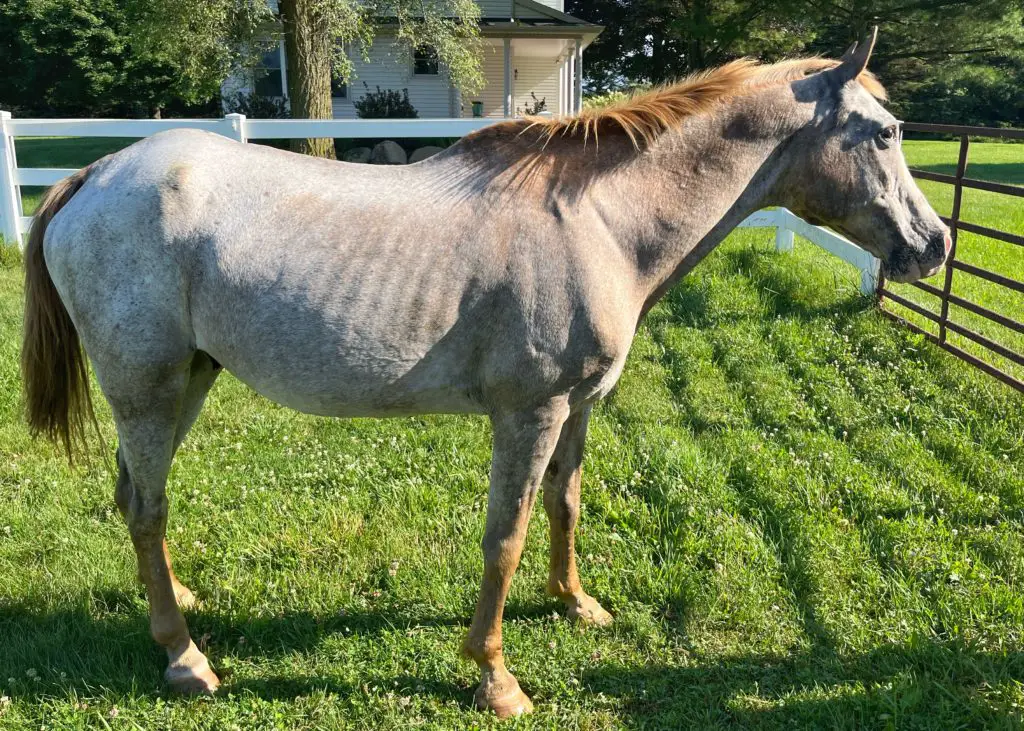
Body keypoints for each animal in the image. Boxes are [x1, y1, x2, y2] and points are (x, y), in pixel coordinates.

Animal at [19, 31, 946, 716]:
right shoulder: (528, 413)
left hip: (188, 380)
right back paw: (186, 658)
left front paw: (576, 602)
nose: (933, 244)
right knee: (148, 506)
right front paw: (494, 675)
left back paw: (176, 602)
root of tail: (91, 174)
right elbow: (506, 536)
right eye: (887, 132)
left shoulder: (578, 407)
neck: (598, 220)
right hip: (148, 387)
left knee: (134, 497)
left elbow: (566, 504)